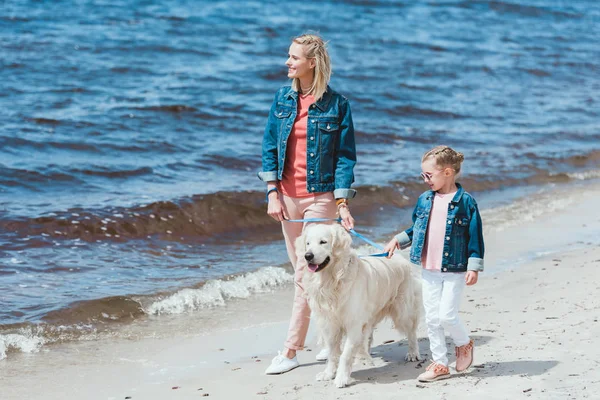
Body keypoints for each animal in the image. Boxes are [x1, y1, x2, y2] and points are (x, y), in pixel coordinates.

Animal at [298, 223, 422, 386]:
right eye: (307, 243)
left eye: (323, 242)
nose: (308, 256)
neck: (332, 279)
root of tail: (398, 257)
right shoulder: (329, 323)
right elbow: (332, 352)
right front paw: (328, 373)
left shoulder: (353, 322)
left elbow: (345, 354)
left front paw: (341, 378)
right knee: (367, 335)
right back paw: (364, 356)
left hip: (402, 310)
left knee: (411, 331)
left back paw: (413, 353)